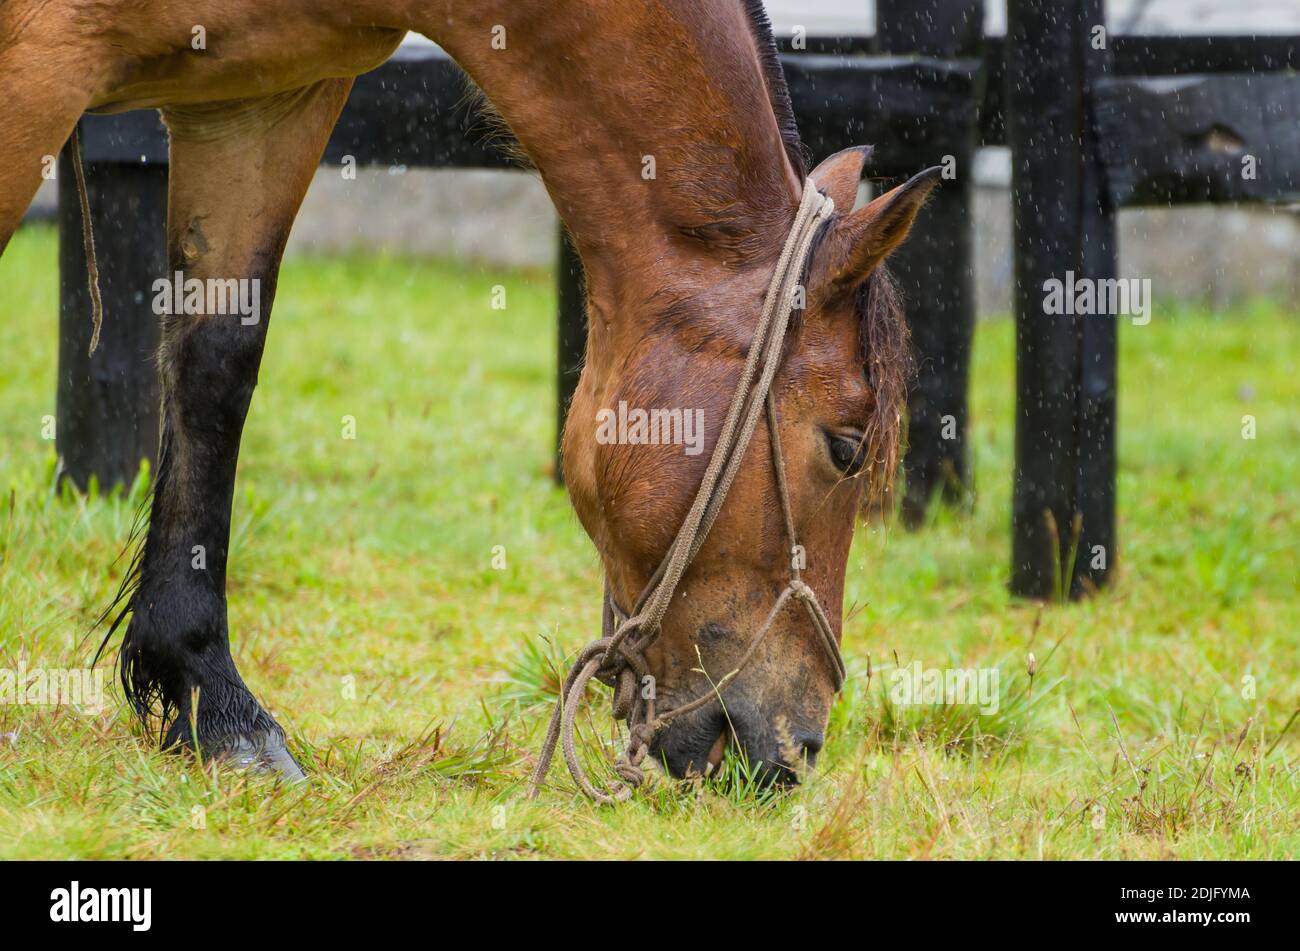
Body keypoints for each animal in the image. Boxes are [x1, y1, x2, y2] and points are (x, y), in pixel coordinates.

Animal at [0, 0, 937, 790]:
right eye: (847, 447)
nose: (797, 748)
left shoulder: (261, 100)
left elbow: (214, 373)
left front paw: (213, 698)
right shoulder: (38, 68)